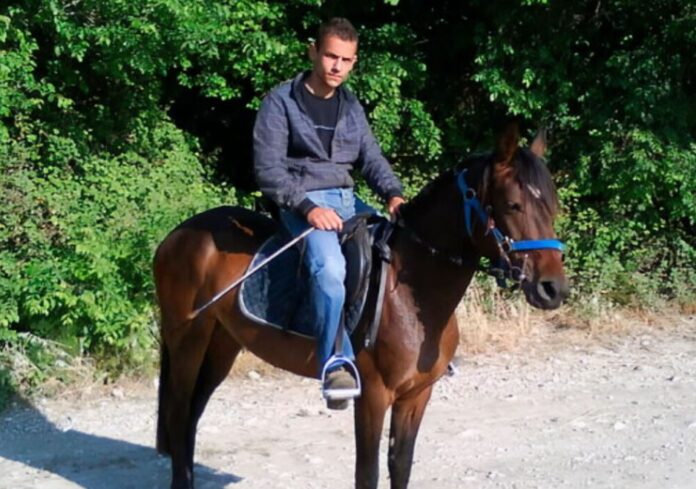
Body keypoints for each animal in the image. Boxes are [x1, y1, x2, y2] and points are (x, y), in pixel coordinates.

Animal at [153, 123, 569, 489]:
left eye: (552, 206)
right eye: (512, 205)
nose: (553, 289)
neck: (413, 296)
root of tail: (178, 234)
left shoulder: (416, 395)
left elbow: (401, 466)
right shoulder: (372, 395)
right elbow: (366, 474)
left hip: (222, 343)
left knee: (190, 418)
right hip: (187, 339)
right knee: (178, 414)